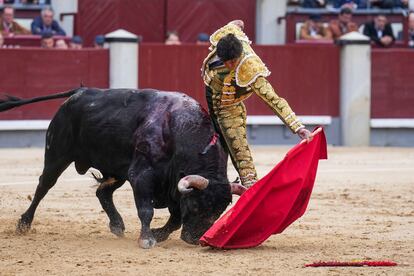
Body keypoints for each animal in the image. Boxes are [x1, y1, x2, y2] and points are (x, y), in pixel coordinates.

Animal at [0, 88, 244, 248]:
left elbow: (175, 219)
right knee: (43, 186)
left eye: (219, 212)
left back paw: (117, 225)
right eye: (195, 206)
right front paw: (147, 238)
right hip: (57, 154)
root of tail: (78, 92)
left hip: (117, 170)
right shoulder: (142, 176)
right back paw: (24, 223)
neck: (179, 130)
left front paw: (158, 234)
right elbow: (146, 210)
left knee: (103, 192)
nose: (194, 239)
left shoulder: (173, 187)